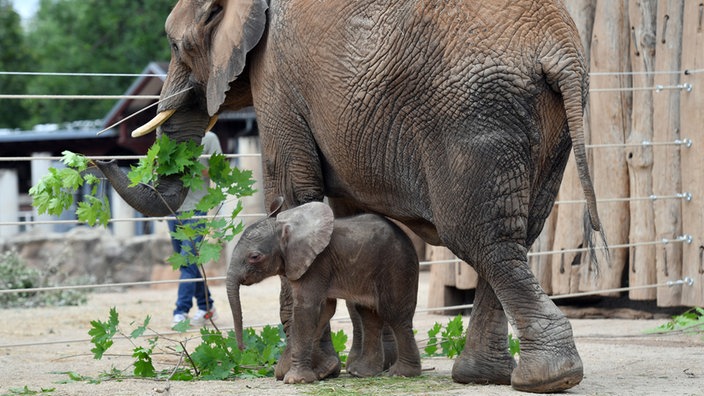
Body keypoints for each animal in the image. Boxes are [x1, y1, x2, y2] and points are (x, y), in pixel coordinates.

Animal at [228, 201, 420, 384]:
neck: (286, 224)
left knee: (394, 315)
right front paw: (322, 370)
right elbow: (325, 309)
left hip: (396, 266)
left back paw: (402, 373)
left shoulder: (317, 263)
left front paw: (295, 380)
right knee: (368, 315)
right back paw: (362, 373)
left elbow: (306, 309)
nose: (242, 348)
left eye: (254, 257)